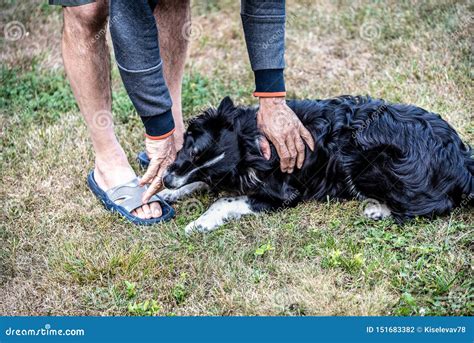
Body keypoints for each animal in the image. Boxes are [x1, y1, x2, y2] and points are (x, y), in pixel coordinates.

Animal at [160, 96, 474, 234]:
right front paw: (166, 193)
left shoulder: (283, 195)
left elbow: (224, 200)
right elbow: (197, 185)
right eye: (192, 149)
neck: (252, 138)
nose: (165, 180)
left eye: (212, 171)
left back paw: (377, 209)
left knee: (429, 208)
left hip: (363, 160)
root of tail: (462, 159)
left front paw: (200, 222)